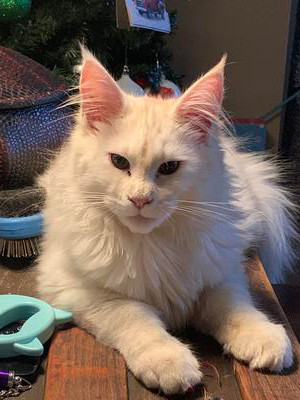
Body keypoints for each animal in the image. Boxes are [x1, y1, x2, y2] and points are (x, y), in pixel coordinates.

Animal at [37, 47, 296, 394]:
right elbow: (137, 318)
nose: (140, 200)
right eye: (119, 162)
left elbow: (236, 309)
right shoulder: (81, 290)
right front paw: (169, 361)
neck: (152, 243)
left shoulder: (219, 276)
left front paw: (263, 337)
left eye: (170, 168)